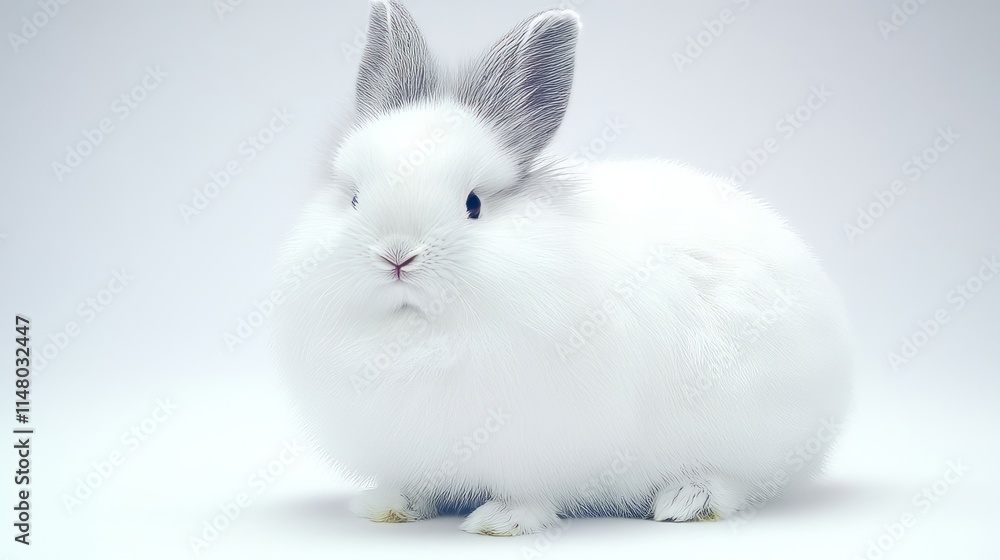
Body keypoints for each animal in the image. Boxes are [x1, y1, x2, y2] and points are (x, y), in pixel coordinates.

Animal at [270, 0, 854, 536]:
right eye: (354, 200)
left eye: (473, 204)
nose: (397, 256)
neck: (419, 332)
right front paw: (390, 507)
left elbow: (527, 491)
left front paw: (500, 522)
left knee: (735, 481)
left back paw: (685, 501)